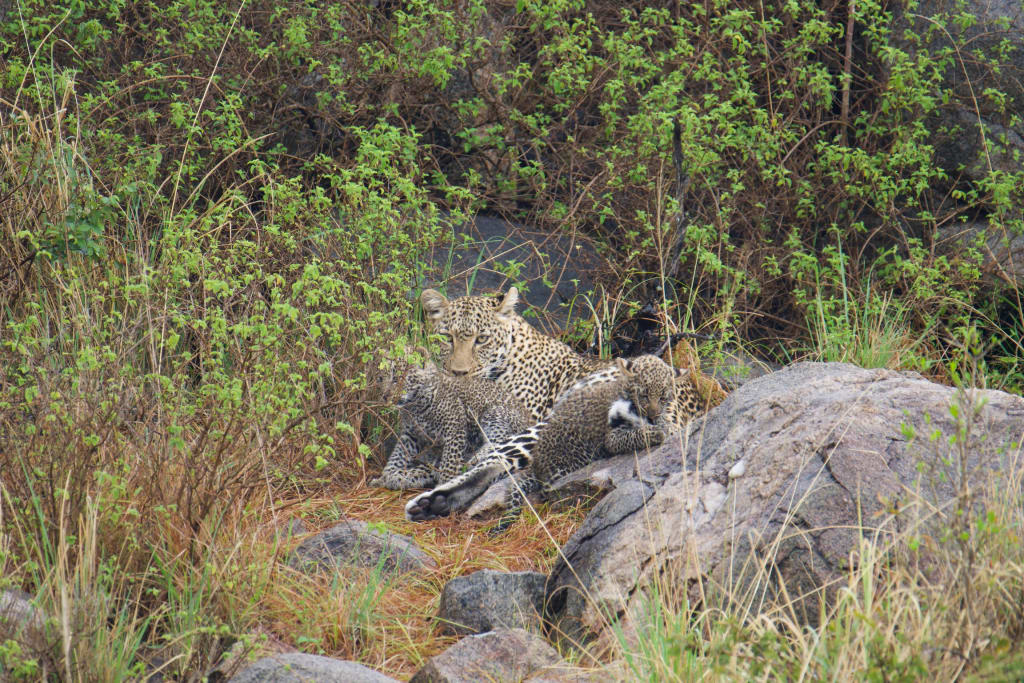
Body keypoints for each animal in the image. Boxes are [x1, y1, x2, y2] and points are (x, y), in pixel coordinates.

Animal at [370, 356, 531, 490]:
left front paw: (445, 483)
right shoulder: (410, 434)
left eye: (398, 378)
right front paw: (386, 475)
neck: (414, 406)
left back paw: (474, 459)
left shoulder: (454, 427)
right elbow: (399, 455)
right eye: (380, 379)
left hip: (495, 413)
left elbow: (450, 461)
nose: (385, 396)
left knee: (498, 442)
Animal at [405, 354, 698, 523]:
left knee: (497, 464)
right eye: (643, 395)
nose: (652, 416)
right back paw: (434, 501)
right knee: (494, 462)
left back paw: (436, 502)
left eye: (662, 396)